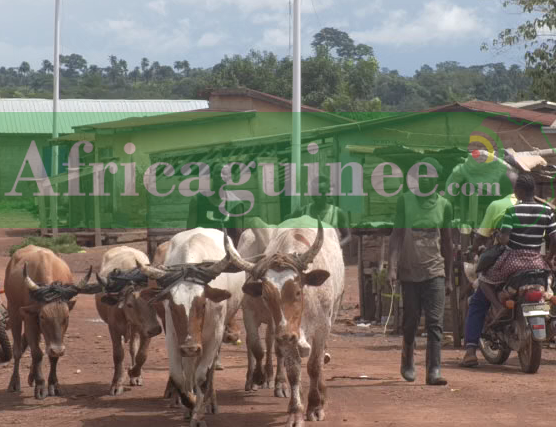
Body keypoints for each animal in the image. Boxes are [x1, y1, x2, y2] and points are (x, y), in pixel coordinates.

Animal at [5, 246, 92, 400]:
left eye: (66, 317)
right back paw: (15, 383)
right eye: (43, 316)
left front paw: (53, 384)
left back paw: (32, 376)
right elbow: (37, 353)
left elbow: (52, 356)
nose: (58, 350)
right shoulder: (30, 319)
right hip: (14, 311)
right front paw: (40, 386)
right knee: (18, 350)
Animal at [94, 247, 162, 398]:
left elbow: (142, 354)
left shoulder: (146, 330)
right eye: (130, 304)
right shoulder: (113, 329)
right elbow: (118, 354)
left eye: (152, 301)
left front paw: (134, 373)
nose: (156, 329)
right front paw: (117, 383)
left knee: (133, 348)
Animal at [138, 229, 244, 426]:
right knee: (188, 369)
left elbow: (202, 376)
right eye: (173, 307)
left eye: (202, 304)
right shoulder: (173, 335)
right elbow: (179, 377)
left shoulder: (215, 335)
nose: (190, 348)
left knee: (208, 371)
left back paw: (211, 402)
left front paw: (198, 413)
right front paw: (191, 404)